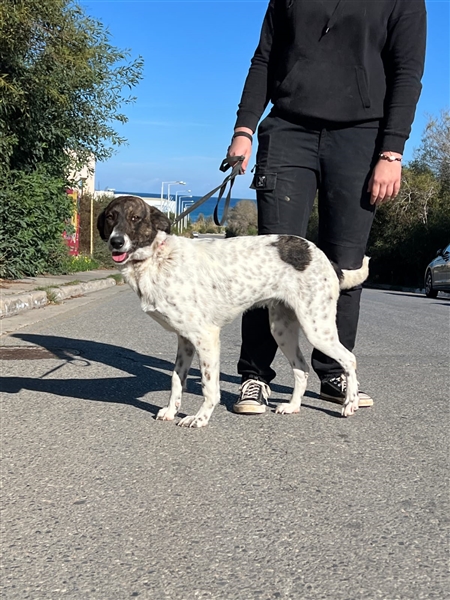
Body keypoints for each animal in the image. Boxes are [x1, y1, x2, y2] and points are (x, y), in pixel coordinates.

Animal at [97, 195, 369, 428]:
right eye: (111, 217)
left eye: (135, 218)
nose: (116, 242)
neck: (156, 259)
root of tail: (322, 255)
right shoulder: (185, 340)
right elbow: (176, 380)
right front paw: (172, 411)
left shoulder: (206, 337)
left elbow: (209, 387)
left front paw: (200, 418)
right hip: (281, 330)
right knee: (301, 368)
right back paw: (293, 406)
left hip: (316, 328)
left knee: (349, 359)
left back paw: (350, 403)